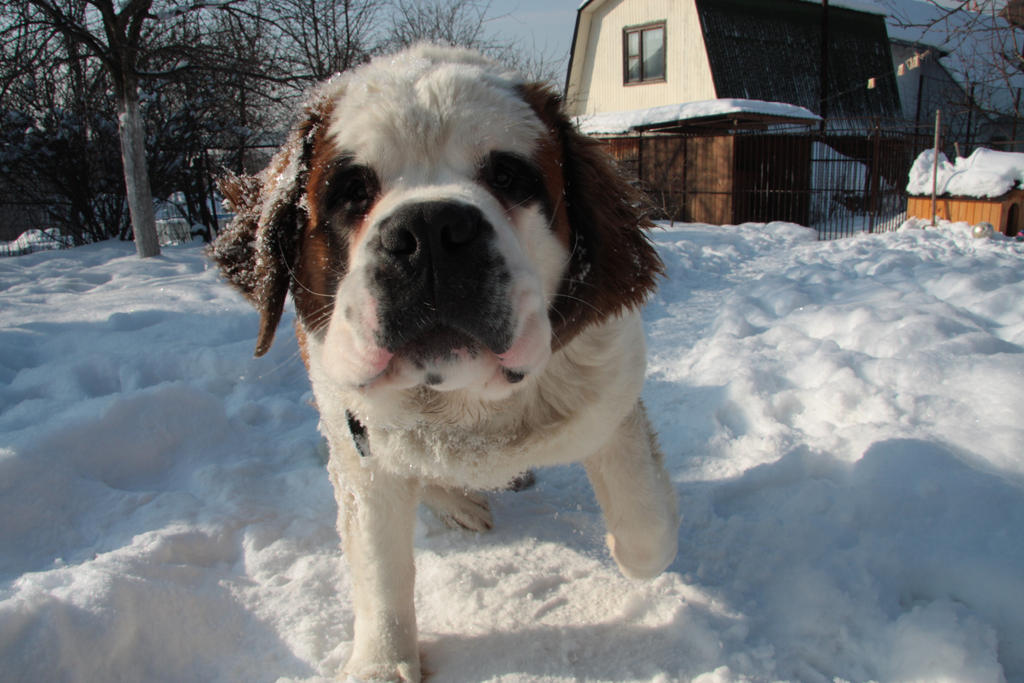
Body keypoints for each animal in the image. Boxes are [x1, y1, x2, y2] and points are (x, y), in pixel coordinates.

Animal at [210, 44, 679, 683]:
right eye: (352, 191)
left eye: (507, 177)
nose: (430, 229)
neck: (467, 402)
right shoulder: (360, 447)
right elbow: (380, 569)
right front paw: (383, 663)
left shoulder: (609, 398)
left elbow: (645, 531)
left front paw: (631, 548)